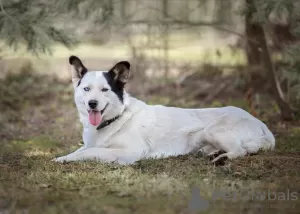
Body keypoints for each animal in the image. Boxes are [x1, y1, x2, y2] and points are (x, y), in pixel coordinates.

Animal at [53, 56, 274, 165]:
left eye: (105, 90)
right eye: (86, 89)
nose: (92, 103)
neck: (117, 117)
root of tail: (262, 125)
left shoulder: (130, 152)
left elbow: (91, 151)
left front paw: (67, 160)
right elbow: (81, 150)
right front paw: (62, 157)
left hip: (214, 130)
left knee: (241, 150)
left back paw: (222, 159)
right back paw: (215, 153)